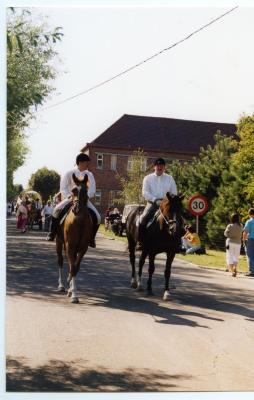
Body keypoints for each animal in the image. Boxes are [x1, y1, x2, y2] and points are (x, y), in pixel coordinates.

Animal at [56, 174, 93, 304]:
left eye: (85, 191)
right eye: (73, 191)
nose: (76, 209)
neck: (79, 221)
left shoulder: (82, 248)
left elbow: (75, 267)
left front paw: (73, 291)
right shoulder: (70, 246)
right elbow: (72, 267)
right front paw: (73, 294)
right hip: (59, 243)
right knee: (61, 261)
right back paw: (61, 285)